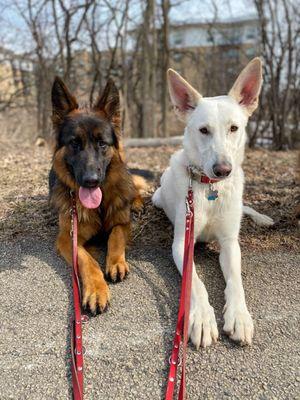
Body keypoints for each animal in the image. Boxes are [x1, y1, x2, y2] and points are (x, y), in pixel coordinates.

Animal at [49, 78, 144, 314]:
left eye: (102, 143)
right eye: (74, 143)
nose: (91, 180)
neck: (98, 207)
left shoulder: (122, 223)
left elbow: (115, 237)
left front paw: (116, 262)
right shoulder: (68, 238)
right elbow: (87, 261)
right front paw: (96, 291)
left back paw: (137, 203)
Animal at [154, 57, 274, 348]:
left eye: (234, 128)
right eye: (203, 130)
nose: (223, 170)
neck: (211, 189)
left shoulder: (230, 243)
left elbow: (236, 283)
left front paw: (239, 316)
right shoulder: (182, 244)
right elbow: (196, 283)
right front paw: (202, 319)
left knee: (244, 207)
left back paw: (262, 218)